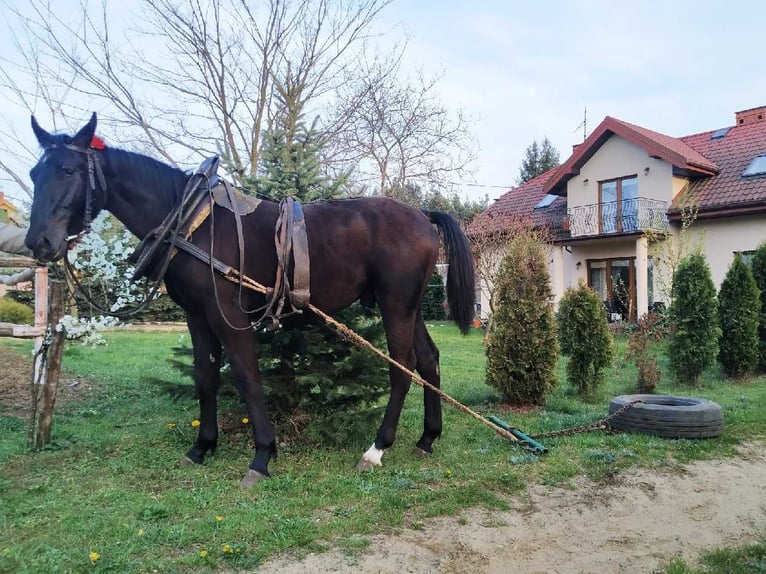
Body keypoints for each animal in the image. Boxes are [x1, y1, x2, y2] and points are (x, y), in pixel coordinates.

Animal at [24, 112, 476, 486]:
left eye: (68, 169)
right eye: (34, 173)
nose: (38, 242)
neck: (192, 224)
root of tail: (422, 214)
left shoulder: (228, 314)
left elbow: (246, 376)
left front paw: (261, 457)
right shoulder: (196, 315)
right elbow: (206, 376)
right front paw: (202, 447)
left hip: (395, 303)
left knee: (403, 368)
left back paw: (377, 449)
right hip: (410, 307)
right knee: (429, 360)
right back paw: (427, 438)